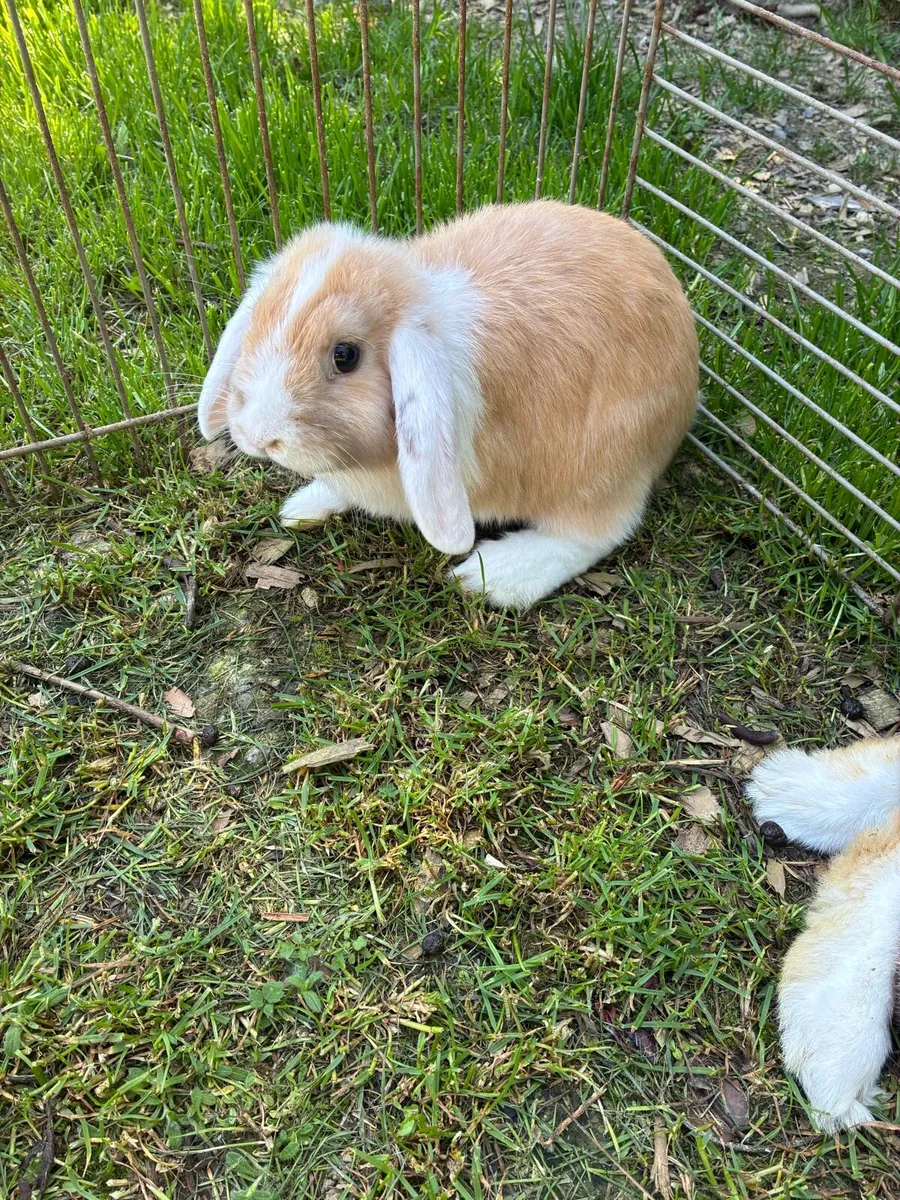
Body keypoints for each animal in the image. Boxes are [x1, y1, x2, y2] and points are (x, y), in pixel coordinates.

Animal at [197, 200, 699, 609]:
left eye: (345, 355)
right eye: (259, 322)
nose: (259, 435)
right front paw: (303, 506)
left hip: (605, 463)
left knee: (598, 531)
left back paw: (492, 577)